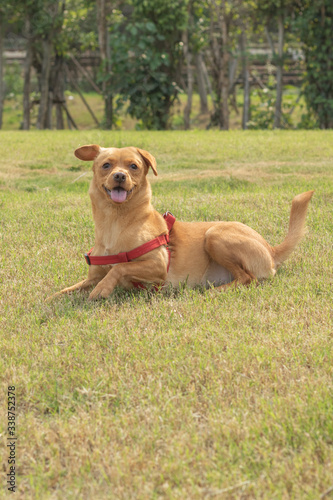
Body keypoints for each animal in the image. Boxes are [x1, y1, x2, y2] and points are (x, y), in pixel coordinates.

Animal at [48, 145, 312, 300]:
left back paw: (214, 291)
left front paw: (103, 289)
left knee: (248, 278)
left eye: (134, 166)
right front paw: (53, 298)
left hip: (214, 235)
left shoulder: (157, 266)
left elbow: (120, 268)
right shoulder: (92, 275)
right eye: (106, 165)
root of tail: (270, 248)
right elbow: (69, 290)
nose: (120, 176)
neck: (115, 223)